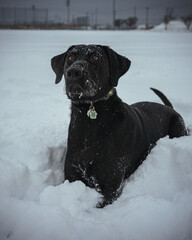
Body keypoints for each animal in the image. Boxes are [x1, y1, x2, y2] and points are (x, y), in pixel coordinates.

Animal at [51, 45, 187, 208]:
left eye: (96, 57)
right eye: (70, 57)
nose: (74, 72)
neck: (89, 121)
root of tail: (170, 108)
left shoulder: (111, 187)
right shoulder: (72, 175)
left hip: (178, 125)